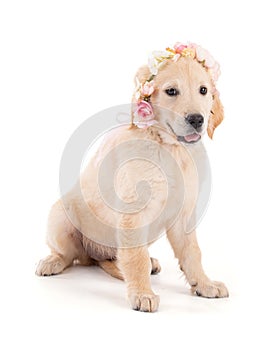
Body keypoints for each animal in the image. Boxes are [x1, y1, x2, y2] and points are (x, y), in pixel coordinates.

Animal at [36, 42, 230, 314]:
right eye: (171, 91)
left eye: (203, 90)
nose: (197, 119)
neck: (170, 148)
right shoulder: (134, 214)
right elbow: (135, 258)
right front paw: (142, 293)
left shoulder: (184, 214)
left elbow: (192, 252)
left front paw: (203, 283)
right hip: (60, 215)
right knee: (70, 254)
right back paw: (52, 262)